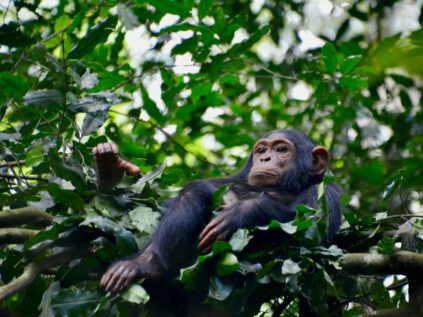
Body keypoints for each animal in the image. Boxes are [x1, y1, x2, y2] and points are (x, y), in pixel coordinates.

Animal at [94, 128, 342, 292]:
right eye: (262, 149)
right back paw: (142, 264)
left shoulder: (327, 192)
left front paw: (240, 213)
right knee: (191, 194)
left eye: (281, 149)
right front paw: (112, 170)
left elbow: (312, 232)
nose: (265, 157)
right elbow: (163, 202)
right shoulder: (240, 177)